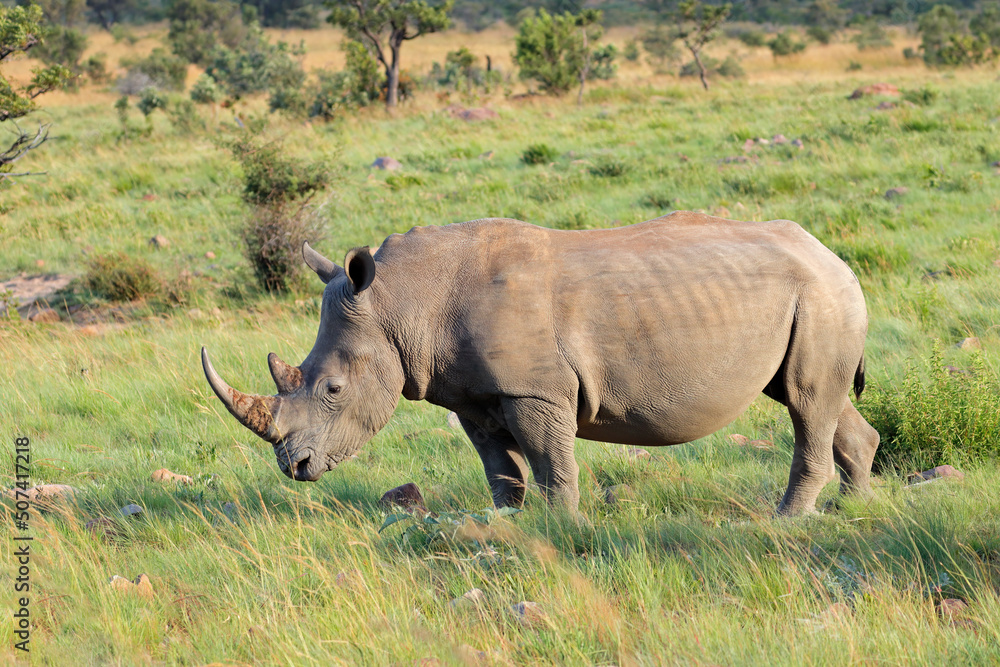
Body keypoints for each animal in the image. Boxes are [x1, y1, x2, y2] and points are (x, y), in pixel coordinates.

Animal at [202, 212, 880, 515]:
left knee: (805, 401)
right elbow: (500, 468)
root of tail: (834, 254)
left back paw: (784, 522)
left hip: (820, 294)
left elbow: (553, 464)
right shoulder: (471, 395)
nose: (295, 468)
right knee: (813, 398)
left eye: (334, 390)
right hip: (816, 296)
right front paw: (505, 523)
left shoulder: (536, 389)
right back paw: (854, 508)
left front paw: (560, 528)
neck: (401, 302)